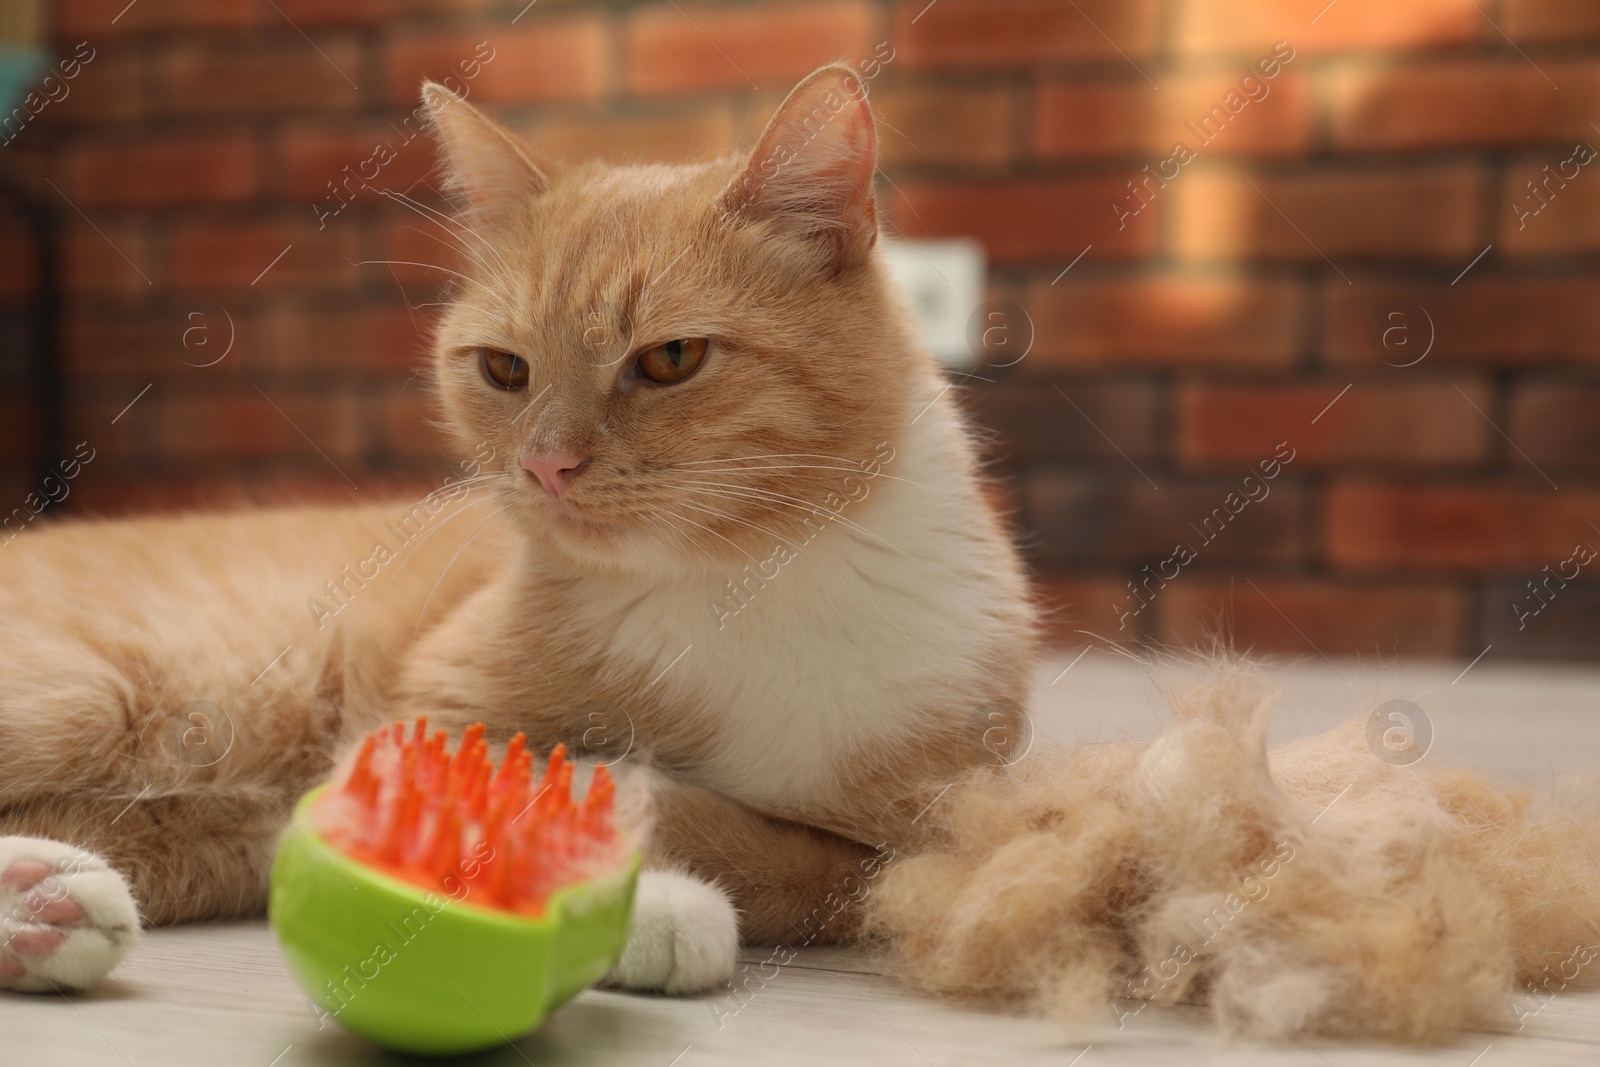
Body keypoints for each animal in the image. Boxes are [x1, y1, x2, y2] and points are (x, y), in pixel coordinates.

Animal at [0, 66, 1036, 998]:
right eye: (504, 369)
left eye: (672, 357)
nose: (547, 465)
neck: (742, 585)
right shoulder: (423, 711)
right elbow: (517, 788)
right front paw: (642, 888)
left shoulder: (930, 830)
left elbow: (811, 867)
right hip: (86, 696)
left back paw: (44, 907)